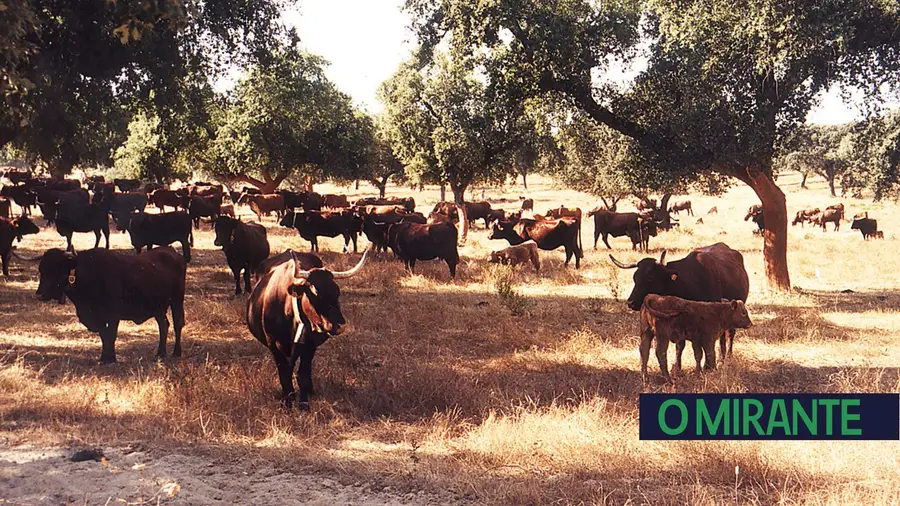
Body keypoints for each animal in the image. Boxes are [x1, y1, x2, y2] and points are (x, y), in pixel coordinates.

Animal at [36, 246, 187, 362]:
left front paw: (111, 358)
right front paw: (104, 357)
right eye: (41, 270)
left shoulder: (113, 314)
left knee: (177, 324)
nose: (39, 293)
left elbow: (111, 334)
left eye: (56, 268)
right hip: (158, 308)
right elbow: (104, 334)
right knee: (164, 325)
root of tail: (173, 252)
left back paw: (176, 352)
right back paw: (160, 353)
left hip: (176, 301)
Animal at [246, 246, 370, 412]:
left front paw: (303, 405)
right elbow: (284, 374)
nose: (339, 325)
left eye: (337, 292)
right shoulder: (273, 344)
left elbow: (302, 375)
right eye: (317, 294)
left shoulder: (309, 345)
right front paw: (288, 402)